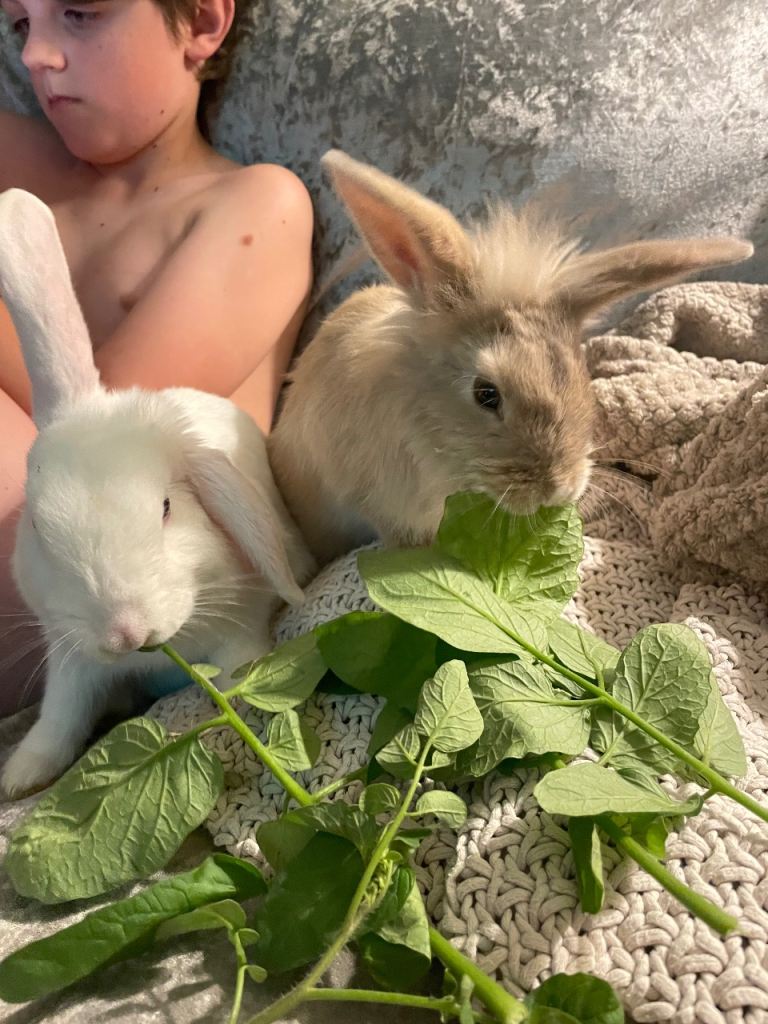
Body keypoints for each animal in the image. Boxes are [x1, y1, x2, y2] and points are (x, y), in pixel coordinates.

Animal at [0, 188, 316, 798]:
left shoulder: (239, 629)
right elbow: (60, 720)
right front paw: (21, 778)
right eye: (39, 531)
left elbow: (240, 672)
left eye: (167, 508)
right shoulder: (72, 664)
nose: (125, 632)